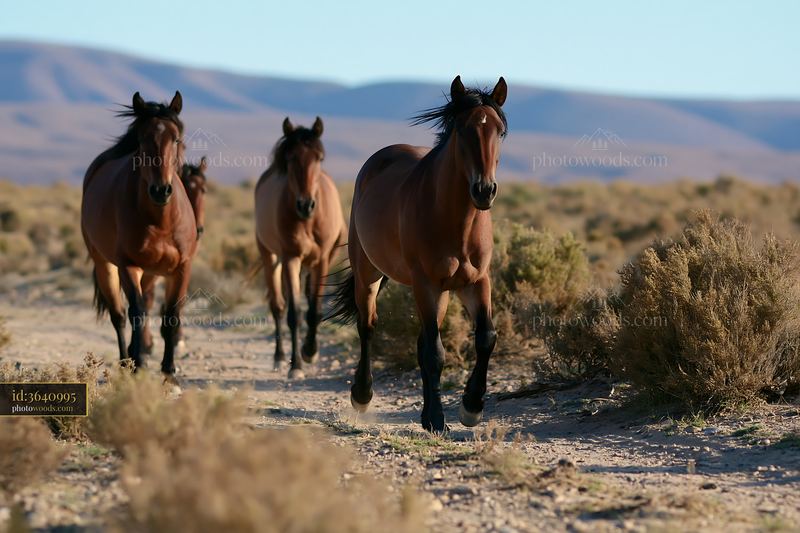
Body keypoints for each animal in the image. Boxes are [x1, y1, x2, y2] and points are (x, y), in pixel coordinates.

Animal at [81, 91, 198, 383]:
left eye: (176, 139)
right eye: (143, 139)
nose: (160, 190)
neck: (161, 222)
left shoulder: (182, 268)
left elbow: (171, 317)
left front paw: (169, 374)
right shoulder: (129, 266)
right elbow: (136, 314)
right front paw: (139, 366)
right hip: (105, 265)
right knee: (120, 316)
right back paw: (127, 362)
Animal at [141, 156, 209, 355]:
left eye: (204, 190)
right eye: (186, 190)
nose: (198, 230)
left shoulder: (184, 265)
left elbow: (178, 300)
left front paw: (178, 337)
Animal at [255, 117, 346, 379]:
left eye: (319, 158)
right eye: (291, 158)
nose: (306, 205)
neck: (307, 221)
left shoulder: (323, 259)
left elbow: (314, 310)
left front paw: (310, 351)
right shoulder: (290, 258)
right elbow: (293, 313)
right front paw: (295, 365)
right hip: (270, 257)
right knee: (277, 306)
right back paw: (279, 357)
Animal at [329, 76, 507, 432]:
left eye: (500, 131)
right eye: (463, 130)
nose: (484, 190)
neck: (456, 222)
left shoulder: (476, 282)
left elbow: (485, 337)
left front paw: (471, 407)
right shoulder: (426, 284)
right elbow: (436, 353)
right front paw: (439, 418)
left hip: (442, 293)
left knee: (421, 341)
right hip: (370, 274)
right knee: (368, 327)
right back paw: (362, 395)